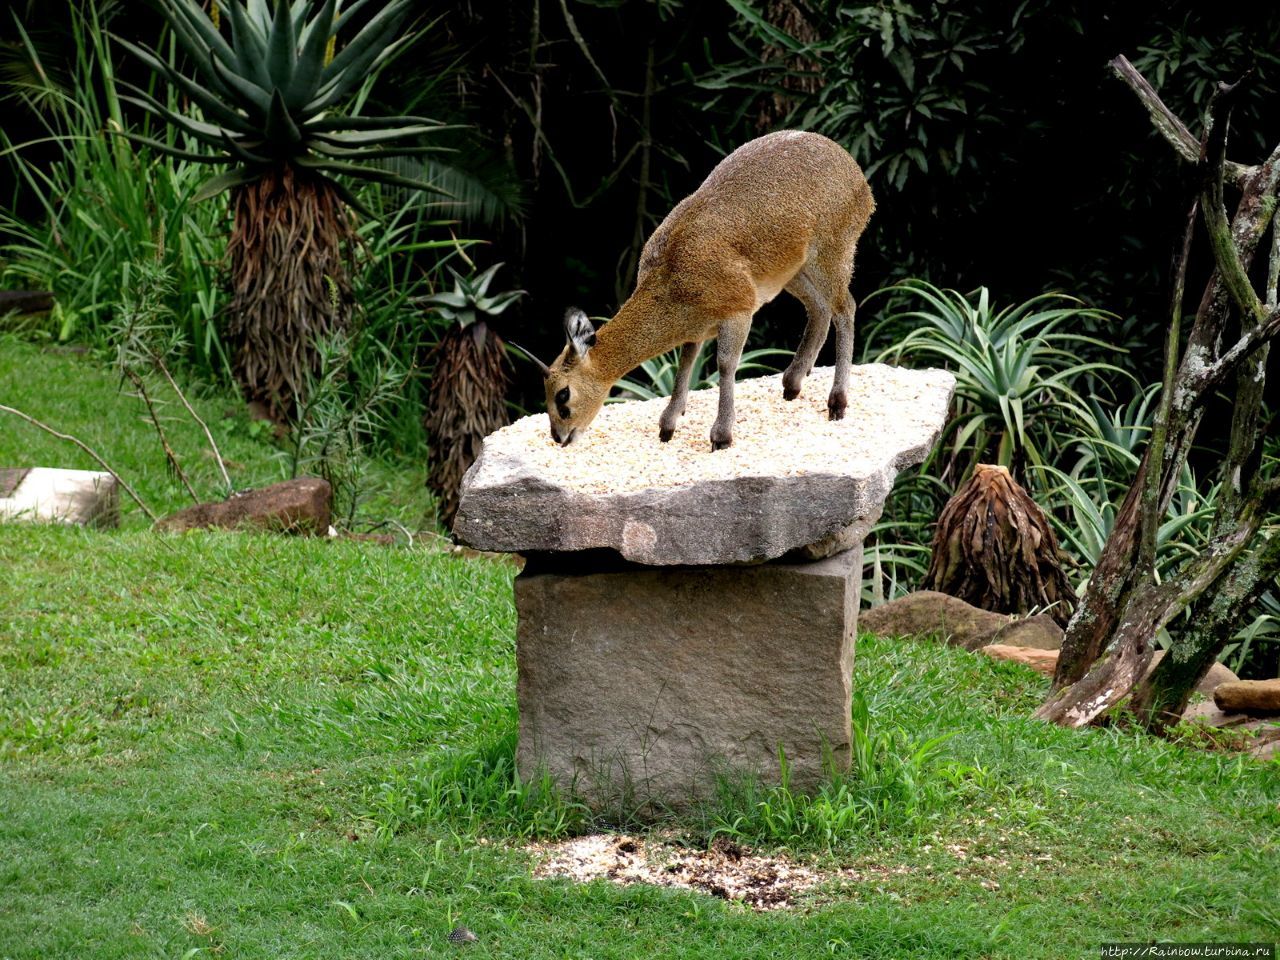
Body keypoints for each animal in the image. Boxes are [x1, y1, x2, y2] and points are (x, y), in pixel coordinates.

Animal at [519, 128, 870, 450]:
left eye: (563, 395)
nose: (560, 437)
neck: (674, 284)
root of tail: (860, 180)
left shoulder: (739, 308)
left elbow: (725, 364)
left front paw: (721, 436)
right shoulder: (698, 326)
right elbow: (686, 361)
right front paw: (667, 426)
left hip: (832, 252)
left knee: (845, 307)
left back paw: (837, 403)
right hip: (793, 271)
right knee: (820, 307)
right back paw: (792, 384)